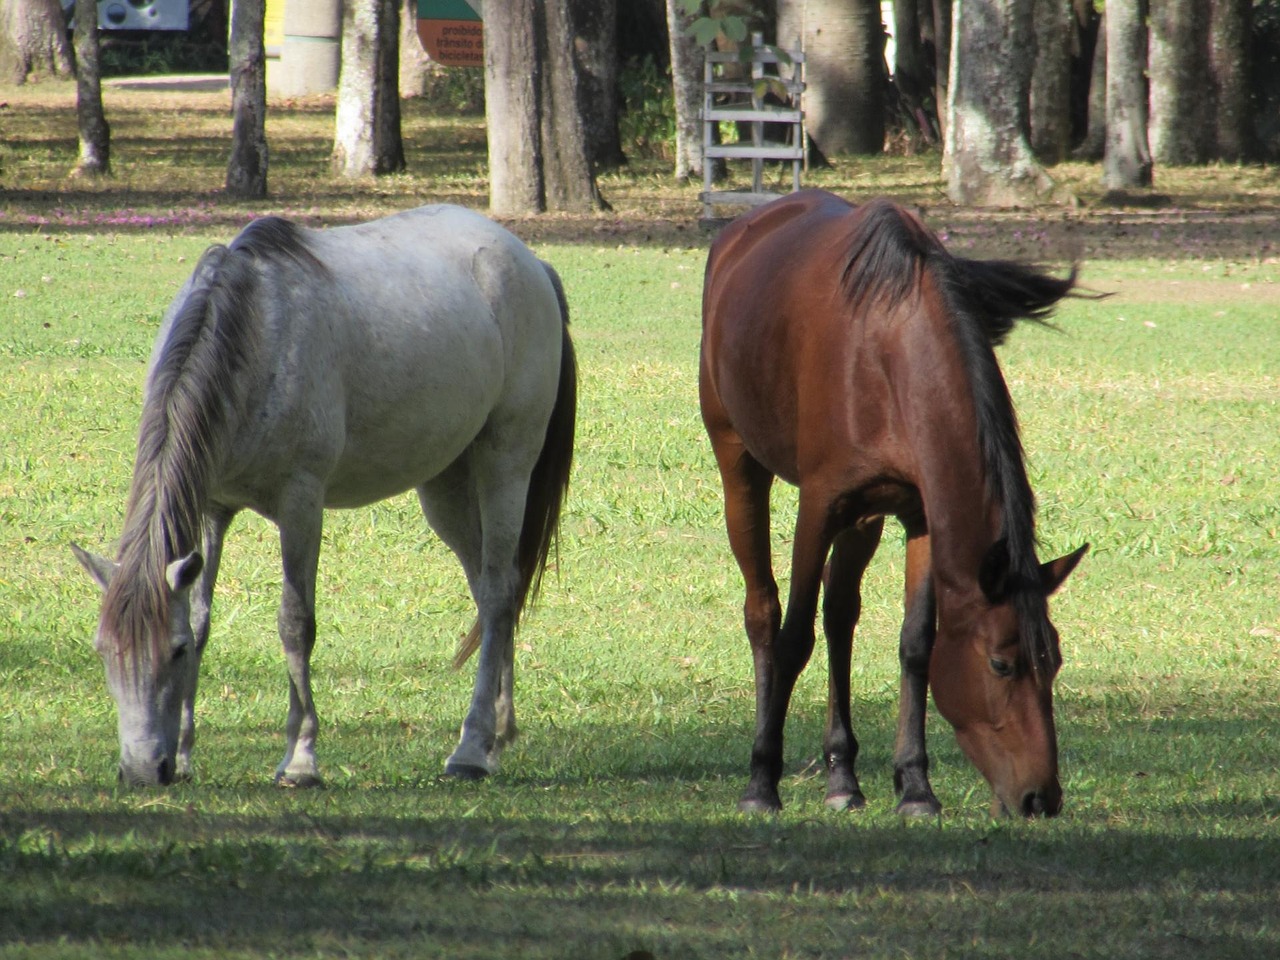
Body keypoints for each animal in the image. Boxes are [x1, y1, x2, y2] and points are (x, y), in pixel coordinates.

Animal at [67, 204, 573, 788]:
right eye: (104, 651)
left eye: (173, 652)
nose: (144, 769)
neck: (258, 328)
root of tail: (531, 262)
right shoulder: (213, 508)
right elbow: (202, 615)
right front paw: (189, 753)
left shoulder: (301, 505)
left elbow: (295, 622)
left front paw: (301, 758)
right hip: (445, 487)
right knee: (493, 590)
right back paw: (498, 733)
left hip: (504, 465)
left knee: (495, 591)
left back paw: (470, 747)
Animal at [701, 192, 1090, 824]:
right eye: (1001, 664)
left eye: (1053, 660)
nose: (1042, 799)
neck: (887, 349)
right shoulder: (819, 505)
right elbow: (792, 639)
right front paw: (762, 783)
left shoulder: (921, 514)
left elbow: (916, 645)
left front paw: (915, 787)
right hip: (738, 460)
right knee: (764, 612)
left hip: (866, 517)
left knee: (840, 613)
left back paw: (843, 777)